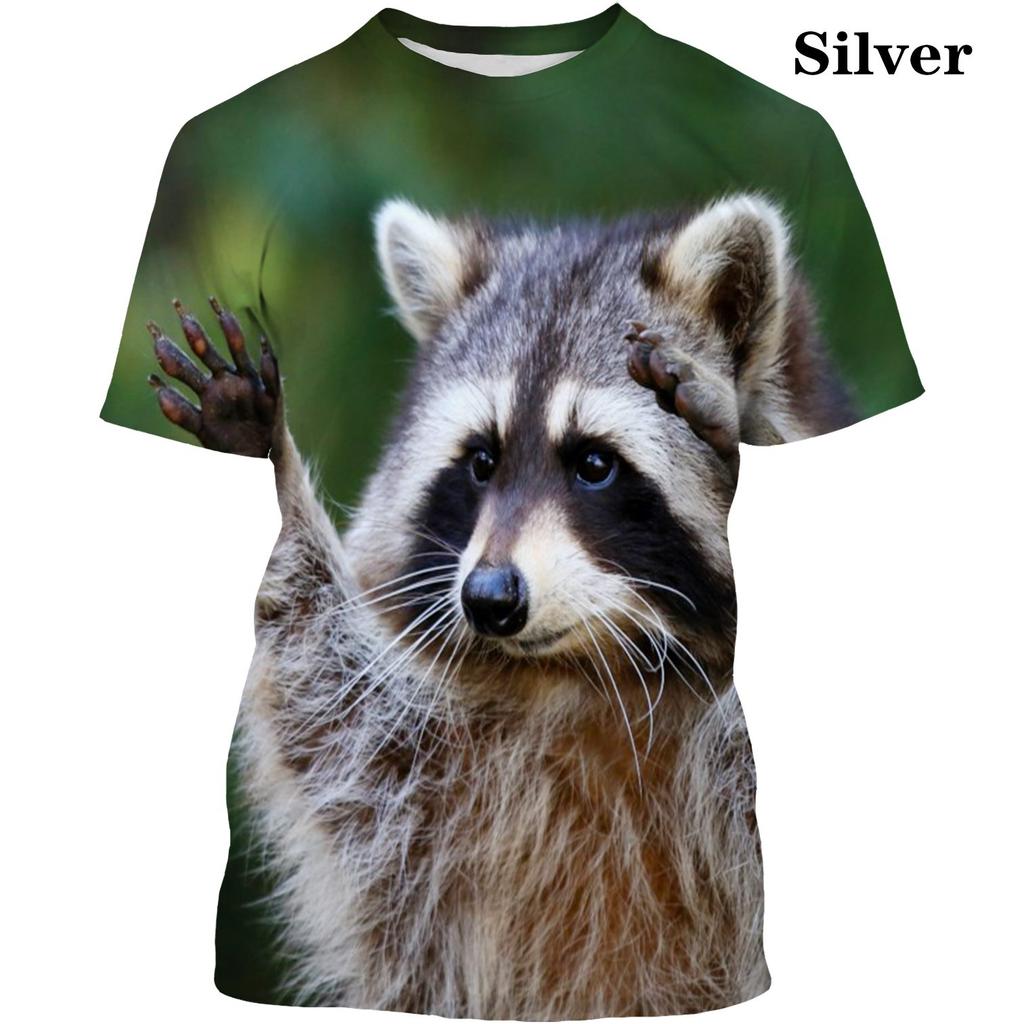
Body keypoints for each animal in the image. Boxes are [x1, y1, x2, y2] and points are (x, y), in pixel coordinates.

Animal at [147, 194, 853, 1017]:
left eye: (594, 464)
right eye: (481, 461)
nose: (489, 598)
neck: (595, 669)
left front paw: (744, 429)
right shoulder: (423, 785)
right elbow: (327, 709)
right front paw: (268, 464)